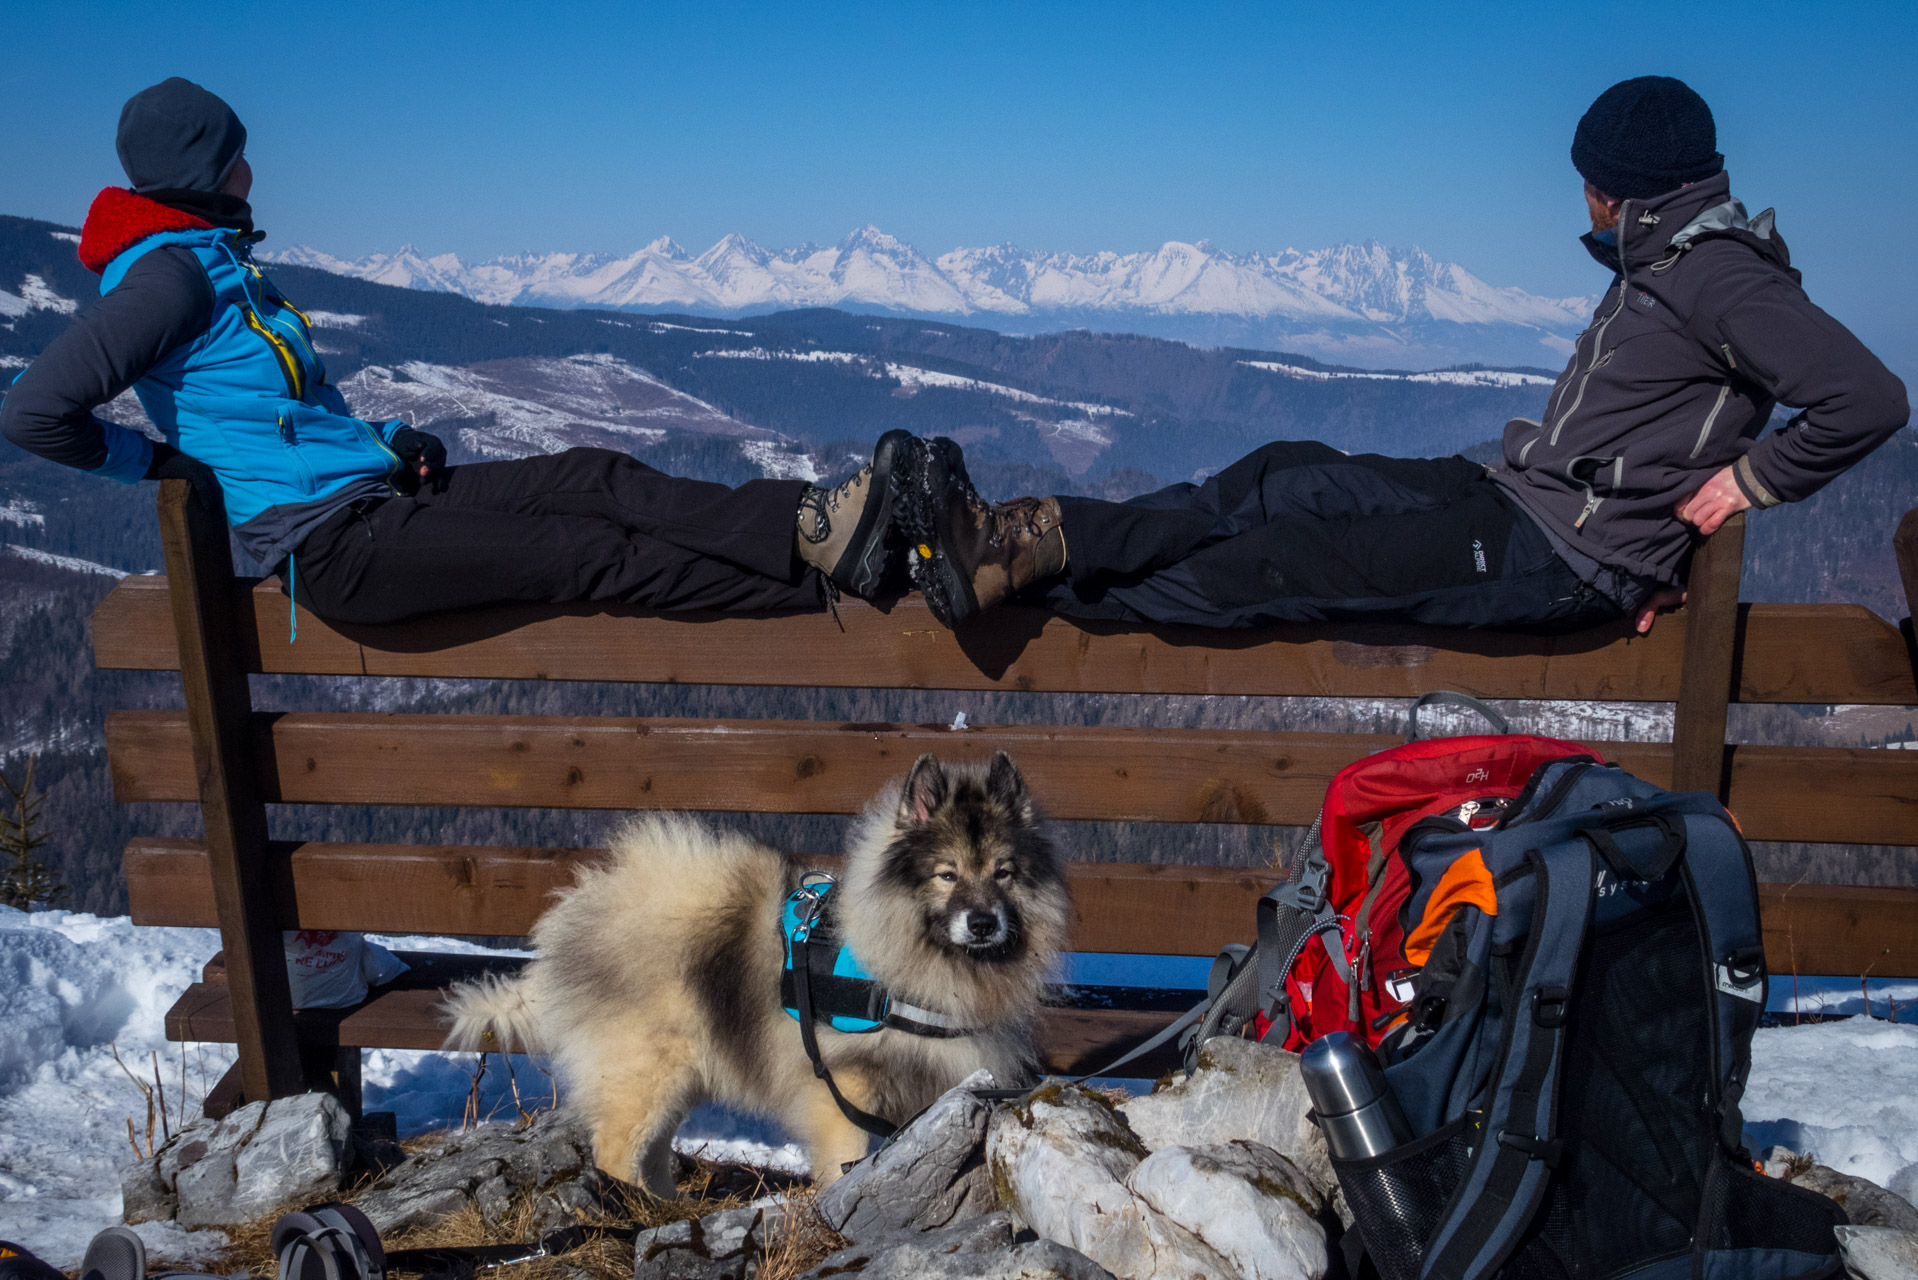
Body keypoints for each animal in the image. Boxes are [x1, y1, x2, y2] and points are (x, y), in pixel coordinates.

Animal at [450, 752, 1081, 1189]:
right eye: (947, 874)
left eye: (1003, 872)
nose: (983, 923)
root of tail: (579, 913)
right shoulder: (843, 1090)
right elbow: (846, 1159)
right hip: (644, 1071)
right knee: (617, 1151)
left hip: (683, 1074)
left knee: (650, 1152)